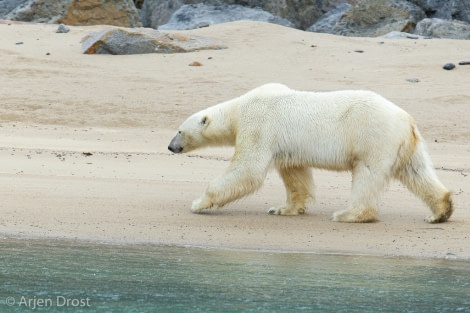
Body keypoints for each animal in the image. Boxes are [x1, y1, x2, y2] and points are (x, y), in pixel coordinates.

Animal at [168, 83, 452, 222]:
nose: (171, 146)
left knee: (367, 174)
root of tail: (406, 119)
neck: (238, 109)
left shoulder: (259, 125)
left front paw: (198, 203)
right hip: (406, 143)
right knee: (416, 171)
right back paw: (440, 211)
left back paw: (349, 214)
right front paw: (283, 209)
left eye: (179, 130)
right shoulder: (286, 146)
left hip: (373, 136)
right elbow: (295, 175)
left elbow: (248, 169)